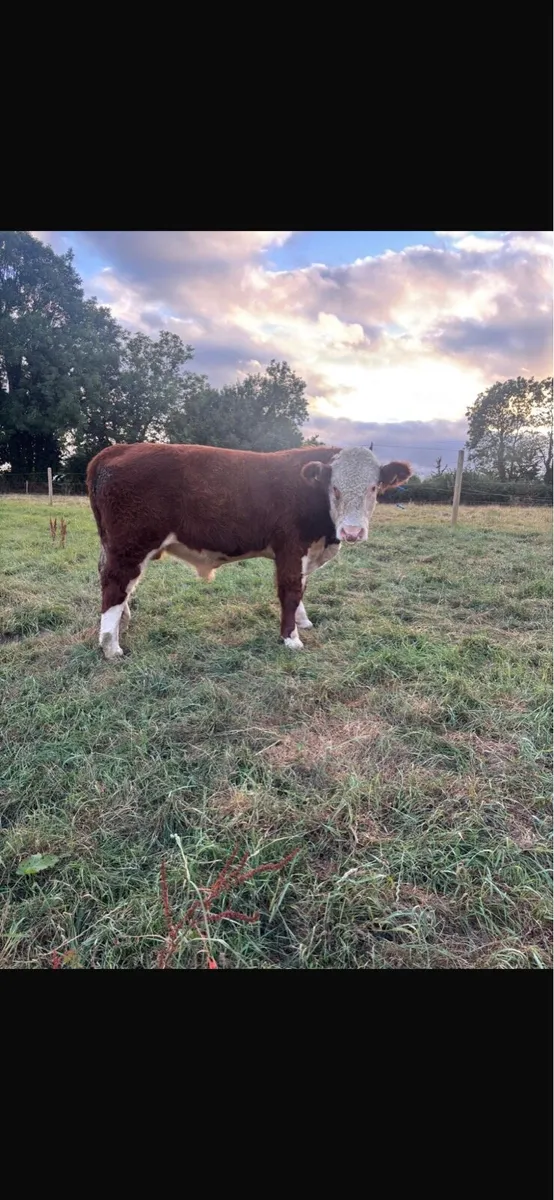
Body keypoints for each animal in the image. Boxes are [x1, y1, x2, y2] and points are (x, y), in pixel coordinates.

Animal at [86, 442, 411, 660]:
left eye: (374, 487)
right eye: (335, 489)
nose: (352, 532)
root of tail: (118, 449)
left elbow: (302, 587)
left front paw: (303, 622)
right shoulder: (290, 547)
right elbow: (291, 590)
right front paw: (291, 638)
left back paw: (122, 624)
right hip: (131, 544)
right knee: (116, 584)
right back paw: (111, 645)